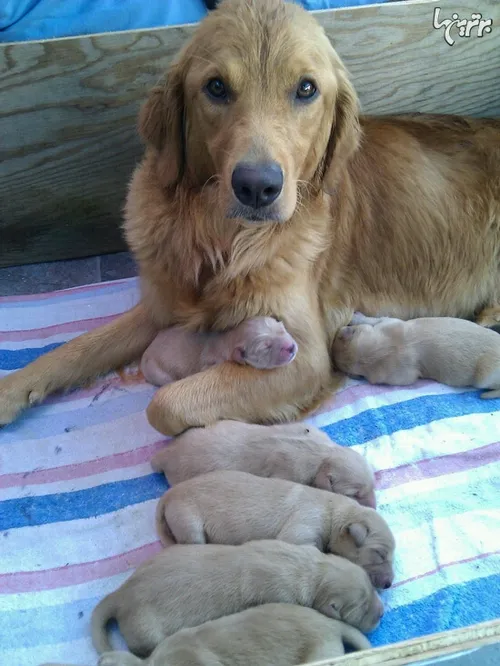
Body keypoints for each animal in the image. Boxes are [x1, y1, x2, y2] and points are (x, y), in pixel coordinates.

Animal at [0, 0, 498, 436]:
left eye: (306, 89)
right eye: (217, 87)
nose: (257, 187)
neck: (220, 238)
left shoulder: (307, 357)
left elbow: (165, 403)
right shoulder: (161, 304)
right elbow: (74, 348)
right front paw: (13, 389)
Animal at [91, 536, 382, 652]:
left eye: (370, 585)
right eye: (361, 606)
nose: (381, 613)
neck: (311, 569)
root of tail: (121, 594)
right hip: (145, 630)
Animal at [155, 466, 394, 588]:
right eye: (380, 554)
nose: (389, 583)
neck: (334, 512)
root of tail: (168, 496)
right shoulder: (305, 523)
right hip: (188, 519)